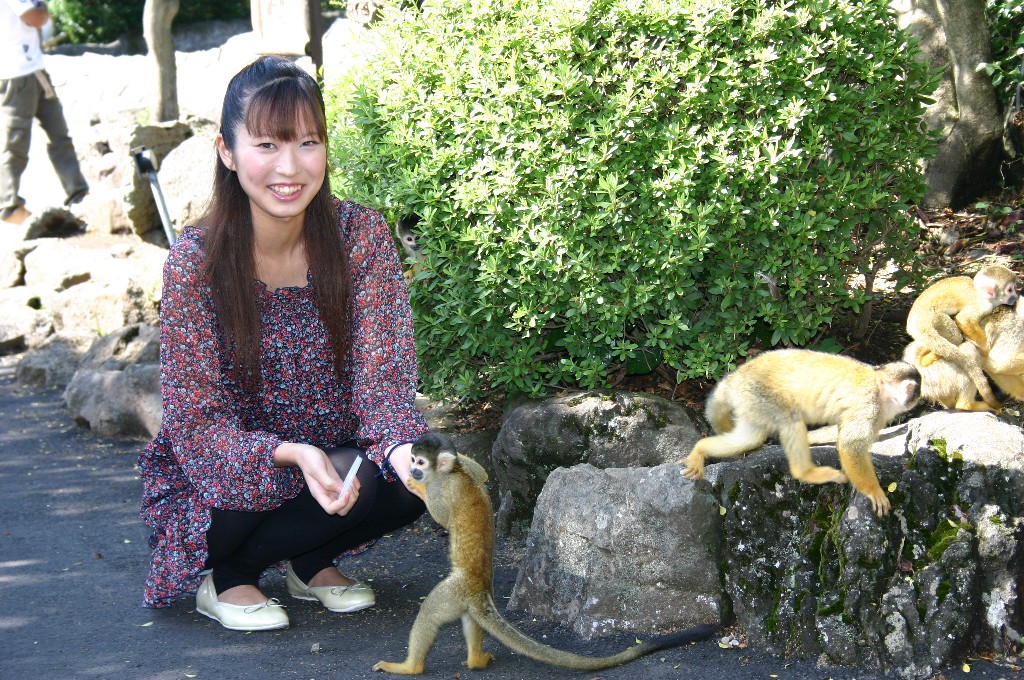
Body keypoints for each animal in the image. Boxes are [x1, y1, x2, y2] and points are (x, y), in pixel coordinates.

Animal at [372, 432, 716, 675]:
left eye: (419, 463)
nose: (412, 470)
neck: (454, 472)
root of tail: (478, 588)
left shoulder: (444, 487)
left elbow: (442, 516)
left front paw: (417, 488)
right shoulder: (467, 471)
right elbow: (483, 474)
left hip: (453, 592)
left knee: (431, 610)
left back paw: (410, 667)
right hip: (470, 600)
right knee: (473, 621)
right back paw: (476, 661)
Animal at [679, 350, 921, 516]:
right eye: (917, 392)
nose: (920, 399)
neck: (880, 385)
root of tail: (735, 377)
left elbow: (839, 430)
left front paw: (814, 439)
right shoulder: (869, 404)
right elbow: (850, 445)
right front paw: (873, 491)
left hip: (751, 403)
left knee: (750, 438)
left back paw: (701, 450)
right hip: (760, 393)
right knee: (790, 417)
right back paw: (805, 472)